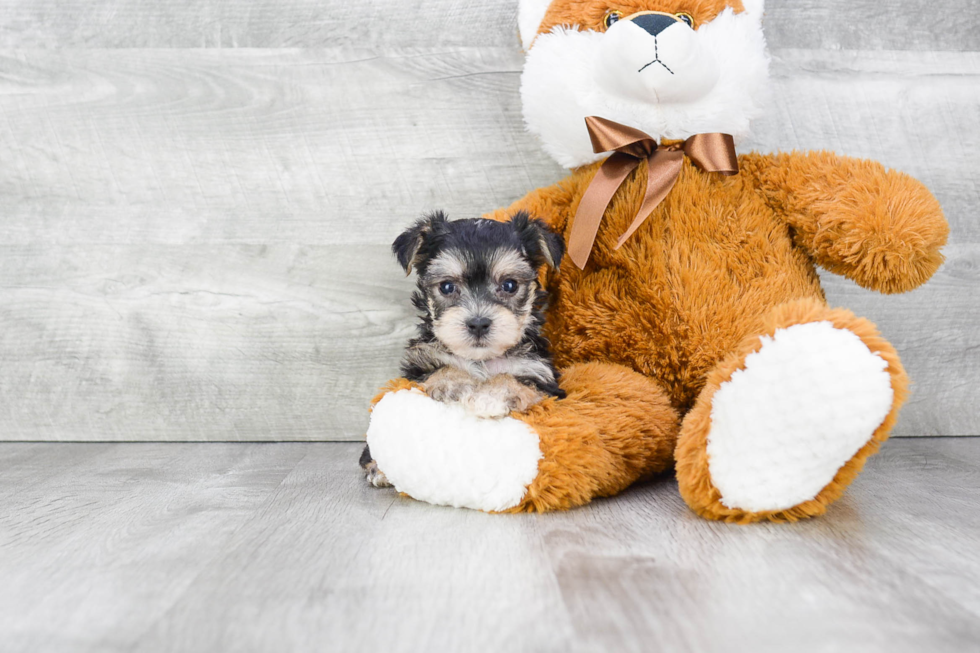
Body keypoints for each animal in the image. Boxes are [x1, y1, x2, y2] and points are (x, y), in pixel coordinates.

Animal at [360, 211, 564, 486]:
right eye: (447, 287)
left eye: (510, 285)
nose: (478, 323)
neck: (481, 359)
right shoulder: (417, 368)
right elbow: (441, 369)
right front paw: (454, 384)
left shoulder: (543, 377)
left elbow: (513, 379)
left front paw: (490, 397)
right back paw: (378, 468)